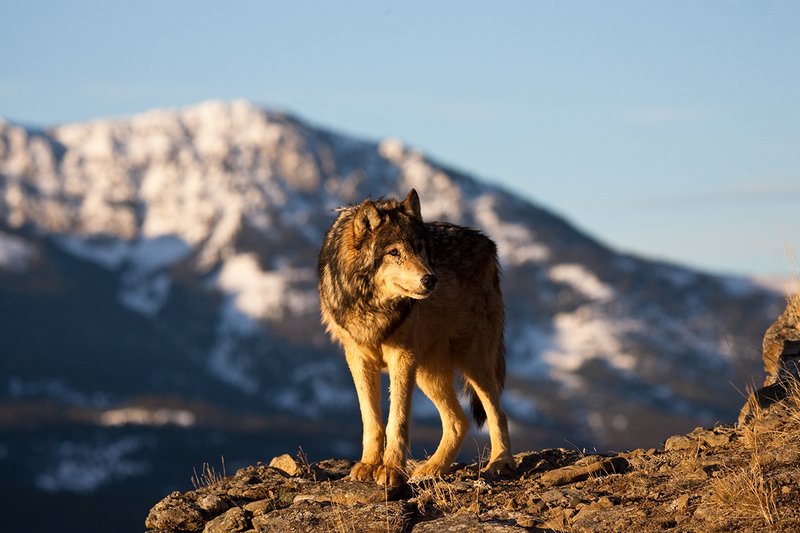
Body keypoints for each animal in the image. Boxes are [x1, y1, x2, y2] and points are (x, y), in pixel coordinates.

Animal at [318, 189, 514, 487]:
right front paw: (369, 464)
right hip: (427, 373)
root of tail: (489, 245)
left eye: (420, 248)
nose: (430, 280)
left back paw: (501, 462)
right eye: (394, 252)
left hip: (472, 360)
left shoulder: (403, 356)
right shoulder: (358, 358)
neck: (374, 307)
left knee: (497, 412)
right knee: (459, 421)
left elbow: (396, 420)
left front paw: (391, 469)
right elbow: (371, 419)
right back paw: (432, 468)